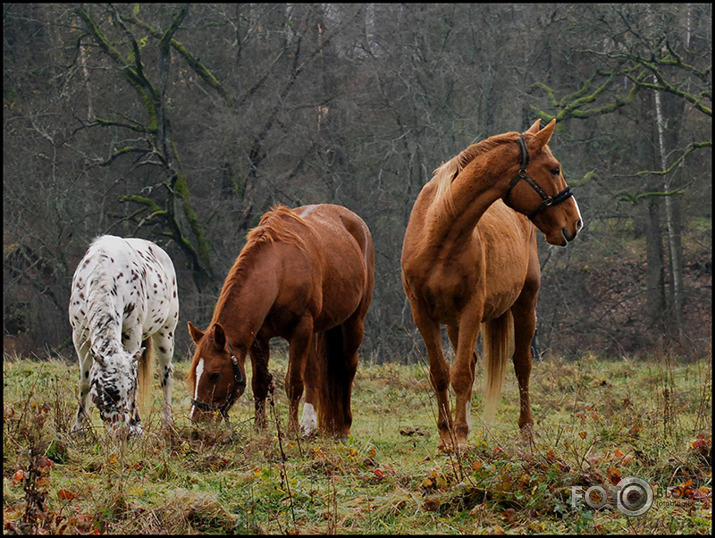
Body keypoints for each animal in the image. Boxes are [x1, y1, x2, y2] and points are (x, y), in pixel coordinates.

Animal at [70, 234, 180, 436]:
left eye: (128, 390)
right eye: (107, 391)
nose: (119, 431)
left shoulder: (132, 332)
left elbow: (136, 377)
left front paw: (136, 428)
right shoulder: (80, 336)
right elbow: (84, 382)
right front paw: (78, 428)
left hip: (166, 332)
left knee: (166, 374)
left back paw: (167, 423)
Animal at [187, 203, 378, 438]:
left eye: (214, 375)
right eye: (195, 373)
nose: (197, 422)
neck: (280, 269)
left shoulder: (300, 330)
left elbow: (293, 382)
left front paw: (291, 430)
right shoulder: (259, 338)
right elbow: (259, 383)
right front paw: (260, 428)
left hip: (353, 322)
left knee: (347, 368)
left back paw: (342, 427)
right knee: (314, 373)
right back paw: (310, 425)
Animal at [400, 120, 584, 448]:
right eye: (554, 169)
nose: (576, 222)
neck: (438, 237)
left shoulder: (472, 311)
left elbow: (461, 374)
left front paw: (459, 437)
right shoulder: (423, 315)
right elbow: (440, 373)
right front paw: (447, 434)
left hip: (525, 304)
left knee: (522, 364)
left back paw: (526, 430)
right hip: (453, 322)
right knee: (472, 363)